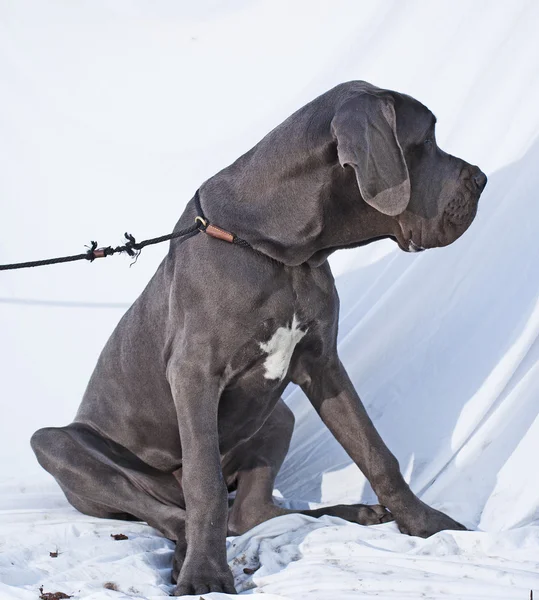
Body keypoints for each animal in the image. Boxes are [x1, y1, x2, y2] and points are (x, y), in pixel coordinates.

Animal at [32, 81, 490, 596]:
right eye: (426, 140)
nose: (482, 179)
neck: (283, 251)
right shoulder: (193, 373)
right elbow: (206, 484)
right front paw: (205, 574)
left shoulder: (323, 364)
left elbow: (376, 452)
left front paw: (427, 524)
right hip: (58, 447)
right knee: (174, 509)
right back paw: (187, 552)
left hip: (278, 416)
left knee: (251, 514)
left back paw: (352, 512)